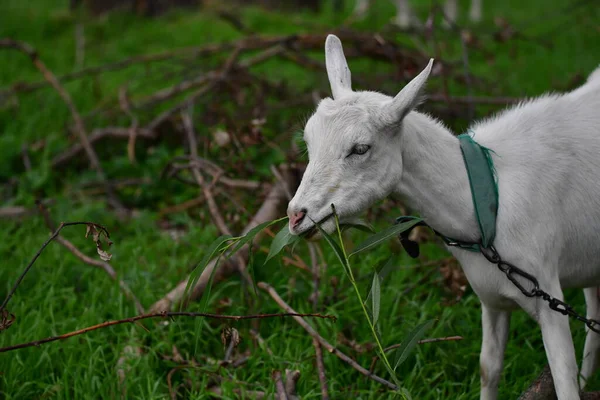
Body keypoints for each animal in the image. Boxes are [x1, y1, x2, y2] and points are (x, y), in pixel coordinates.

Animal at [284, 35, 600, 400]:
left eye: (360, 148)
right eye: (308, 140)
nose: (295, 215)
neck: (487, 199)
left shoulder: (547, 293)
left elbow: (563, 378)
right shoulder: (491, 298)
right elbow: (488, 369)